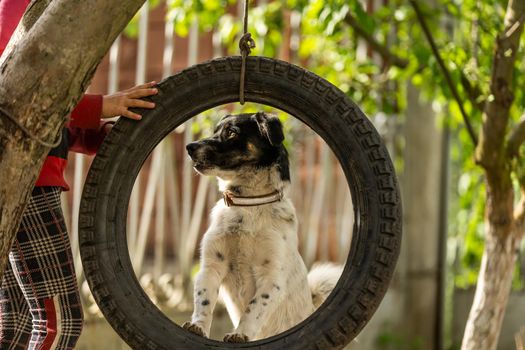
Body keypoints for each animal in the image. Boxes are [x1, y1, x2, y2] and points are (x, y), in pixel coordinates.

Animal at [182, 112, 342, 342]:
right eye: (215, 131)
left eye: (231, 132)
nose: (190, 147)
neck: (248, 204)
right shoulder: (211, 266)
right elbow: (203, 301)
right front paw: (197, 326)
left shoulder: (271, 279)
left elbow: (254, 309)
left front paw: (240, 334)